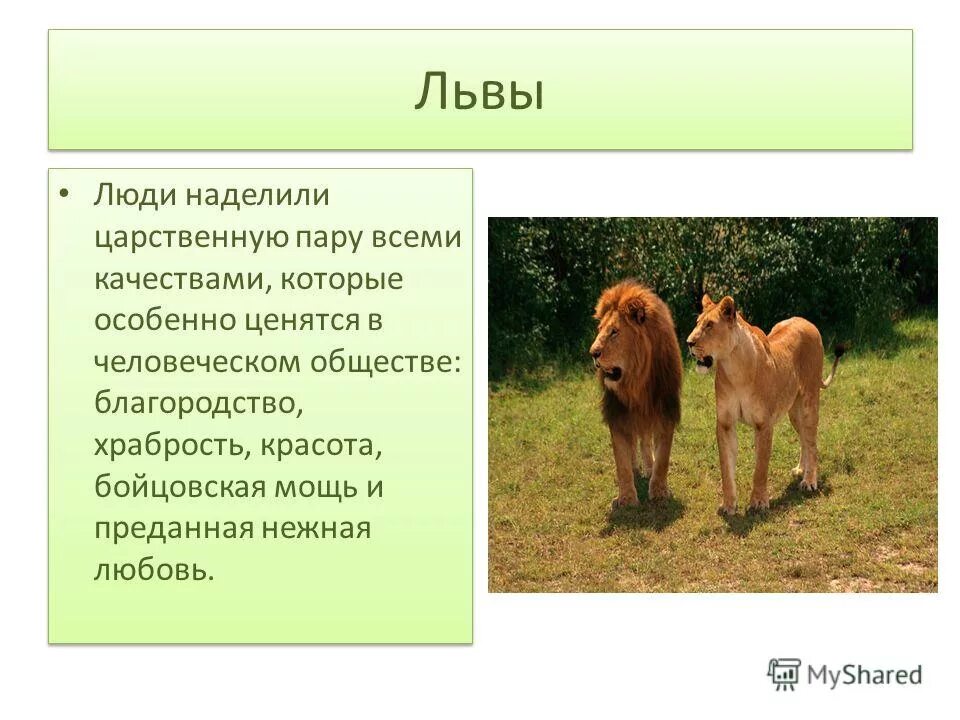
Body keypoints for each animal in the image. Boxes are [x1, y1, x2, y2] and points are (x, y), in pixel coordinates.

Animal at [590, 280, 682, 509]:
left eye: (614, 332)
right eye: (600, 330)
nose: (592, 353)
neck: (636, 383)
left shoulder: (665, 412)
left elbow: (663, 458)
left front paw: (658, 491)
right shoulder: (617, 414)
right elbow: (621, 461)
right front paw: (626, 498)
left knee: (645, 441)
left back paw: (648, 467)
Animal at [685, 294, 844, 515]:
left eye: (709, 325)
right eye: (698, 322)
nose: (688, 343)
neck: (735, 369)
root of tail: (806, 321)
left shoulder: (764, 424)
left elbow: (760, 467)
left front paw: (759, 502)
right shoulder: (725, 424)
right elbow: (726, 468)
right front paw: (728, 505)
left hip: (809, 403)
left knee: (812, 442)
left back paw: (809, 480)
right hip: (793, 411)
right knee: (804, 438)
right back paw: (800, 469)